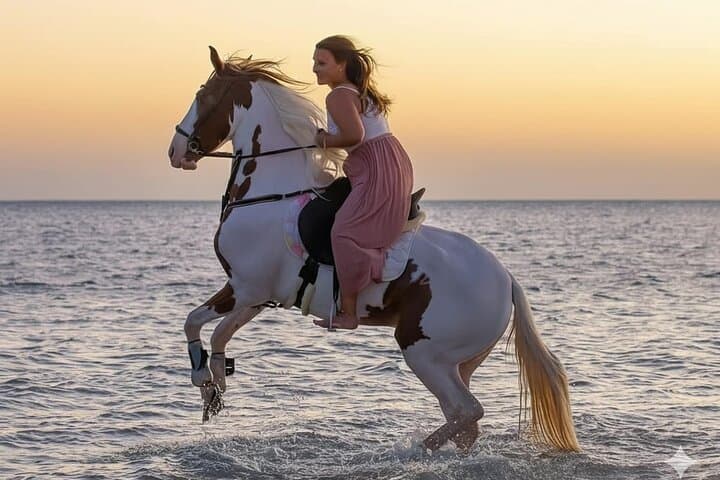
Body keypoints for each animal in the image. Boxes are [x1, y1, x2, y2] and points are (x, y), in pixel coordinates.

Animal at [167, 46, 580, 453]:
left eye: (203, 97)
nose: (175, 150)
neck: (270, 193)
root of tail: (506, 280)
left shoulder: (245, 288)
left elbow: (193, 321)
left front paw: (201, 375)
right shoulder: (257, 296)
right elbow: (219, 333)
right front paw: (214, 386)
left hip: (423, 351)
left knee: (467, 411)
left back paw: (417, 451)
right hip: (460, 362)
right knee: (465, 422)